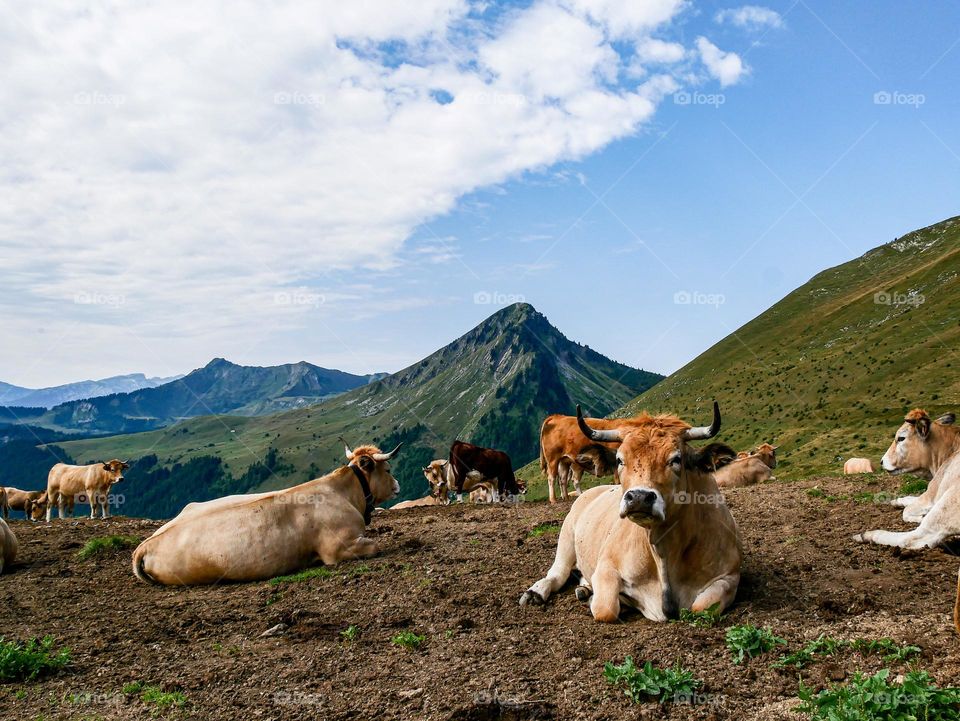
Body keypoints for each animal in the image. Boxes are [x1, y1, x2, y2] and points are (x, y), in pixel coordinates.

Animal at [131, 441, 402, 585]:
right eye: (388, 469)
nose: (397, 484)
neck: (345, 493)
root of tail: (144, 546)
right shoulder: (337, 548)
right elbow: (375, 545)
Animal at [520, 402, 741, 622]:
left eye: (676, 459)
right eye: (620, 459)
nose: (639, 497)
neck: (663, 549)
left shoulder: (730, 576)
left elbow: (701, 607)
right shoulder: (606, 567)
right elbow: (605, 608)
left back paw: (584, 589)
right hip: (566, 535)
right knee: (557, 572)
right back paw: (536, 591)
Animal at [854, 409, 960, 547]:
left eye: (901, 438)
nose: (881, 461)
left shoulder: (932, 492)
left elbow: (907, 511)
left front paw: (919, 516)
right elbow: (909, 498)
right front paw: (896, 501)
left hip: (947, 504)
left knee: (913, 538)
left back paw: (867, 535)